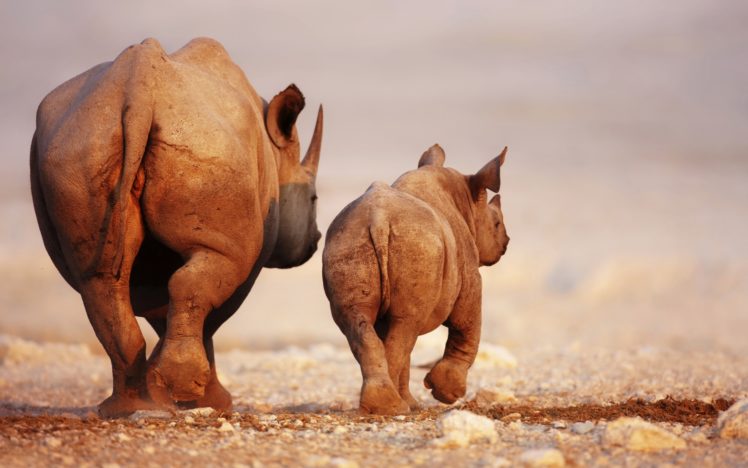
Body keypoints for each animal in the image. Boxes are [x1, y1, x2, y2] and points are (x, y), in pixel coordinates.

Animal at [30, 38, 323, 417]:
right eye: (314, 198)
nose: (315, 241)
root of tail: (138, 90)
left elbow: (162, 307)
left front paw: (165, 388)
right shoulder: (249, 249)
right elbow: (213, 313)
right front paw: (207, 400)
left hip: (78, 144)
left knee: (99, 282)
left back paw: (125, 407)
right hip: (204, 144)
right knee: (201, 275)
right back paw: (176, 396)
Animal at [322, 144, 508, 414]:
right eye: (496, 224)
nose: (506, 242)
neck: (466, 202)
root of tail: (378, 219)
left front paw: (413, 402)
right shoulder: (469, 275)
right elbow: (466, 325)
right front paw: (447, 393)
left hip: (347, 241)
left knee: (364, 324)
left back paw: (385, 406)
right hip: (417, 245)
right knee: (405, 327)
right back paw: (394, 408)